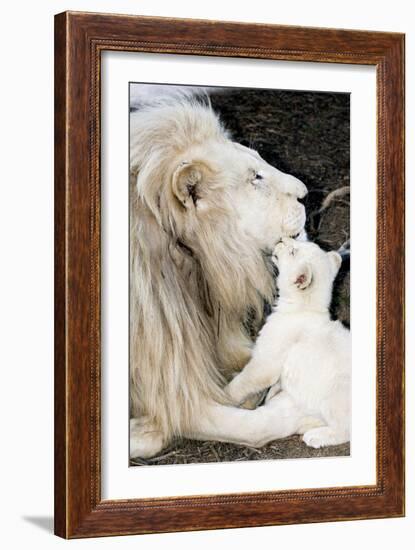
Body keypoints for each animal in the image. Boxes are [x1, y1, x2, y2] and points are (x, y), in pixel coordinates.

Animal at [228, 239, 352, 450]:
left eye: (293, 251)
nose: (281, 240)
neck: (304, 308)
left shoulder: (266, 362)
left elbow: (244, 382)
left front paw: (224, 395)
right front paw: (270, 395)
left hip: (335, 392)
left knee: (346, 428)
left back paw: (315, 436)